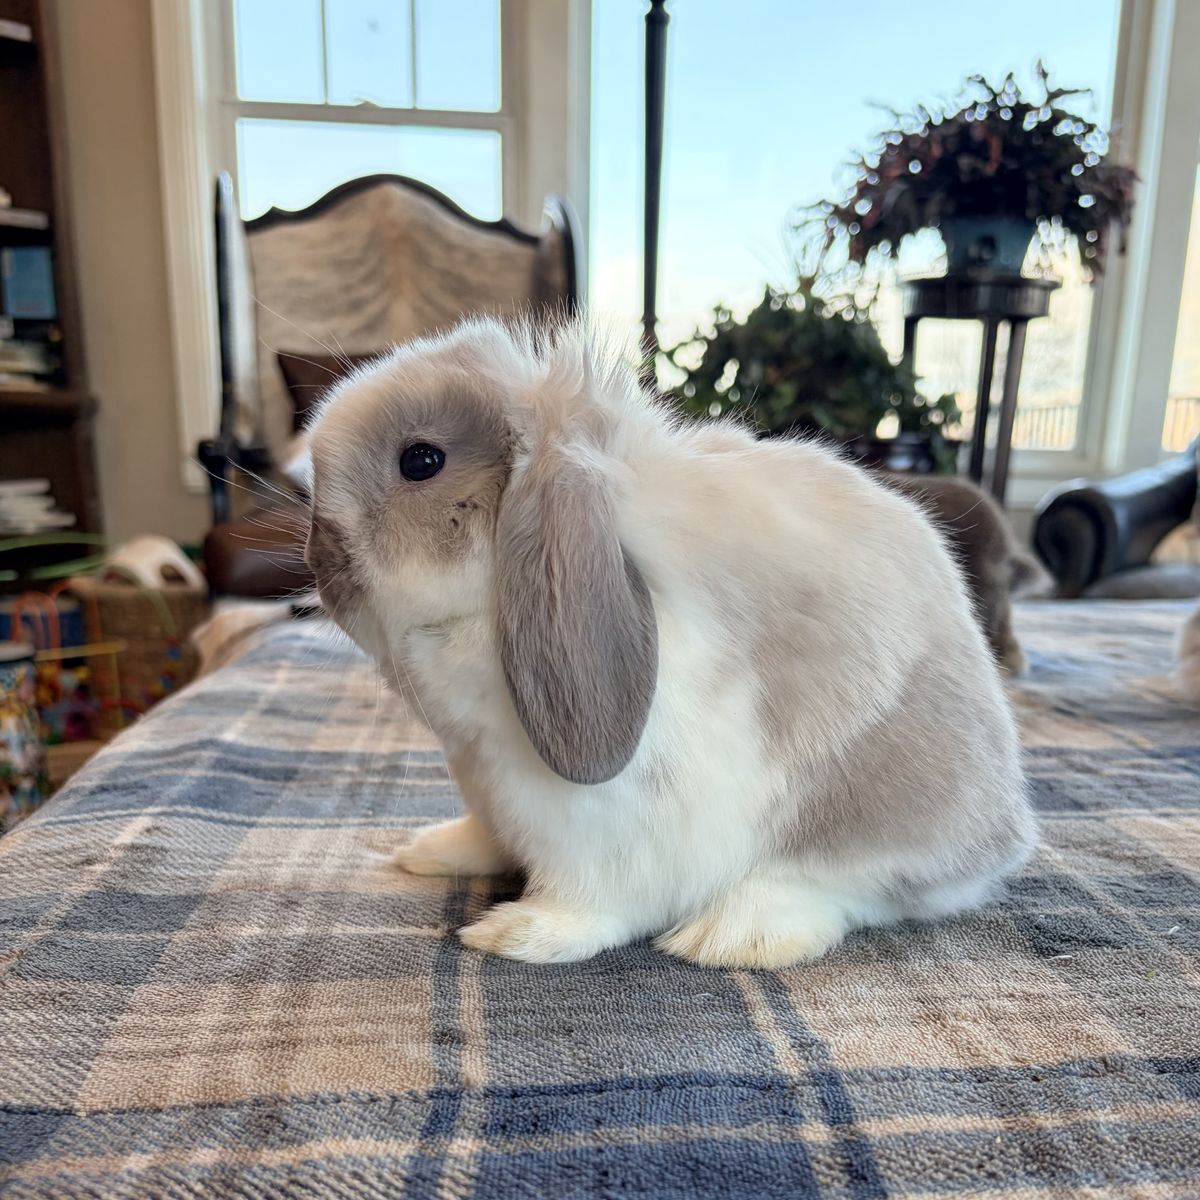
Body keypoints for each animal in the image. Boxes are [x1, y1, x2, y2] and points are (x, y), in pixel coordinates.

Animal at [303, 317, 1036, 969]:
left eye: (420, 461)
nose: (321, 559)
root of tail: (1005, 833)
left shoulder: (599, 826)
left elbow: (589, 902)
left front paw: (519, 932)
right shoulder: (490, 788)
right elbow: (491, 834)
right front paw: (435, 851)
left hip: (865, 818)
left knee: (852, 889)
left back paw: (735, 935)